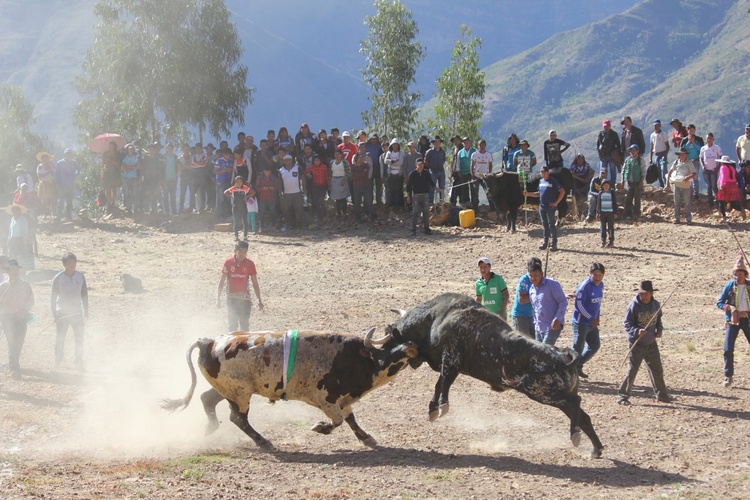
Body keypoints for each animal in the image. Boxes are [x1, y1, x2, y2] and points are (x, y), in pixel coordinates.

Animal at [162, 328, 420, 450]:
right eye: (388, 346)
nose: (411, 345)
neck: (355, 359)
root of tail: (209, 341)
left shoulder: (343, 400)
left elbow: (351, 419)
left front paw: (366, 438)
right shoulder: (326, 399)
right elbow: (337, 420)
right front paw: (321, 428)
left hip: (226, 390)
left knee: (207, 399)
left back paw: (211, 428)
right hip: (240, 393)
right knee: (238, 418)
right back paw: (263, 441)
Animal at [382, 292, 604, 460]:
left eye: (392, 338)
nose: (384, 357)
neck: (437, 317)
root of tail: (563, 353)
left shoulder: (451, 359)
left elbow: (443, 383)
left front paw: (441, 407)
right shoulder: (451, 364)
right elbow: (439, 385)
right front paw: (432, 410)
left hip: (542, 392)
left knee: (576, 403)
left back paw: (575, 435)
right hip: (552, 395)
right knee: (583, 416)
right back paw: (596, 449)